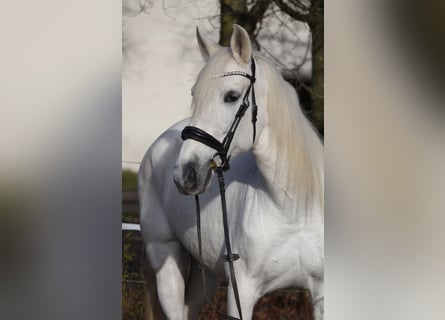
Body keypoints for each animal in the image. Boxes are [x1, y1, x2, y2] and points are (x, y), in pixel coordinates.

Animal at [139, 25, 322, 320]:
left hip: (205, 271)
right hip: (164, 254)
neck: (292, 210)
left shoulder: (321, 294)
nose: (185, 174)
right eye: (194, 94)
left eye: (231, 97)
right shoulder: (242, 292)